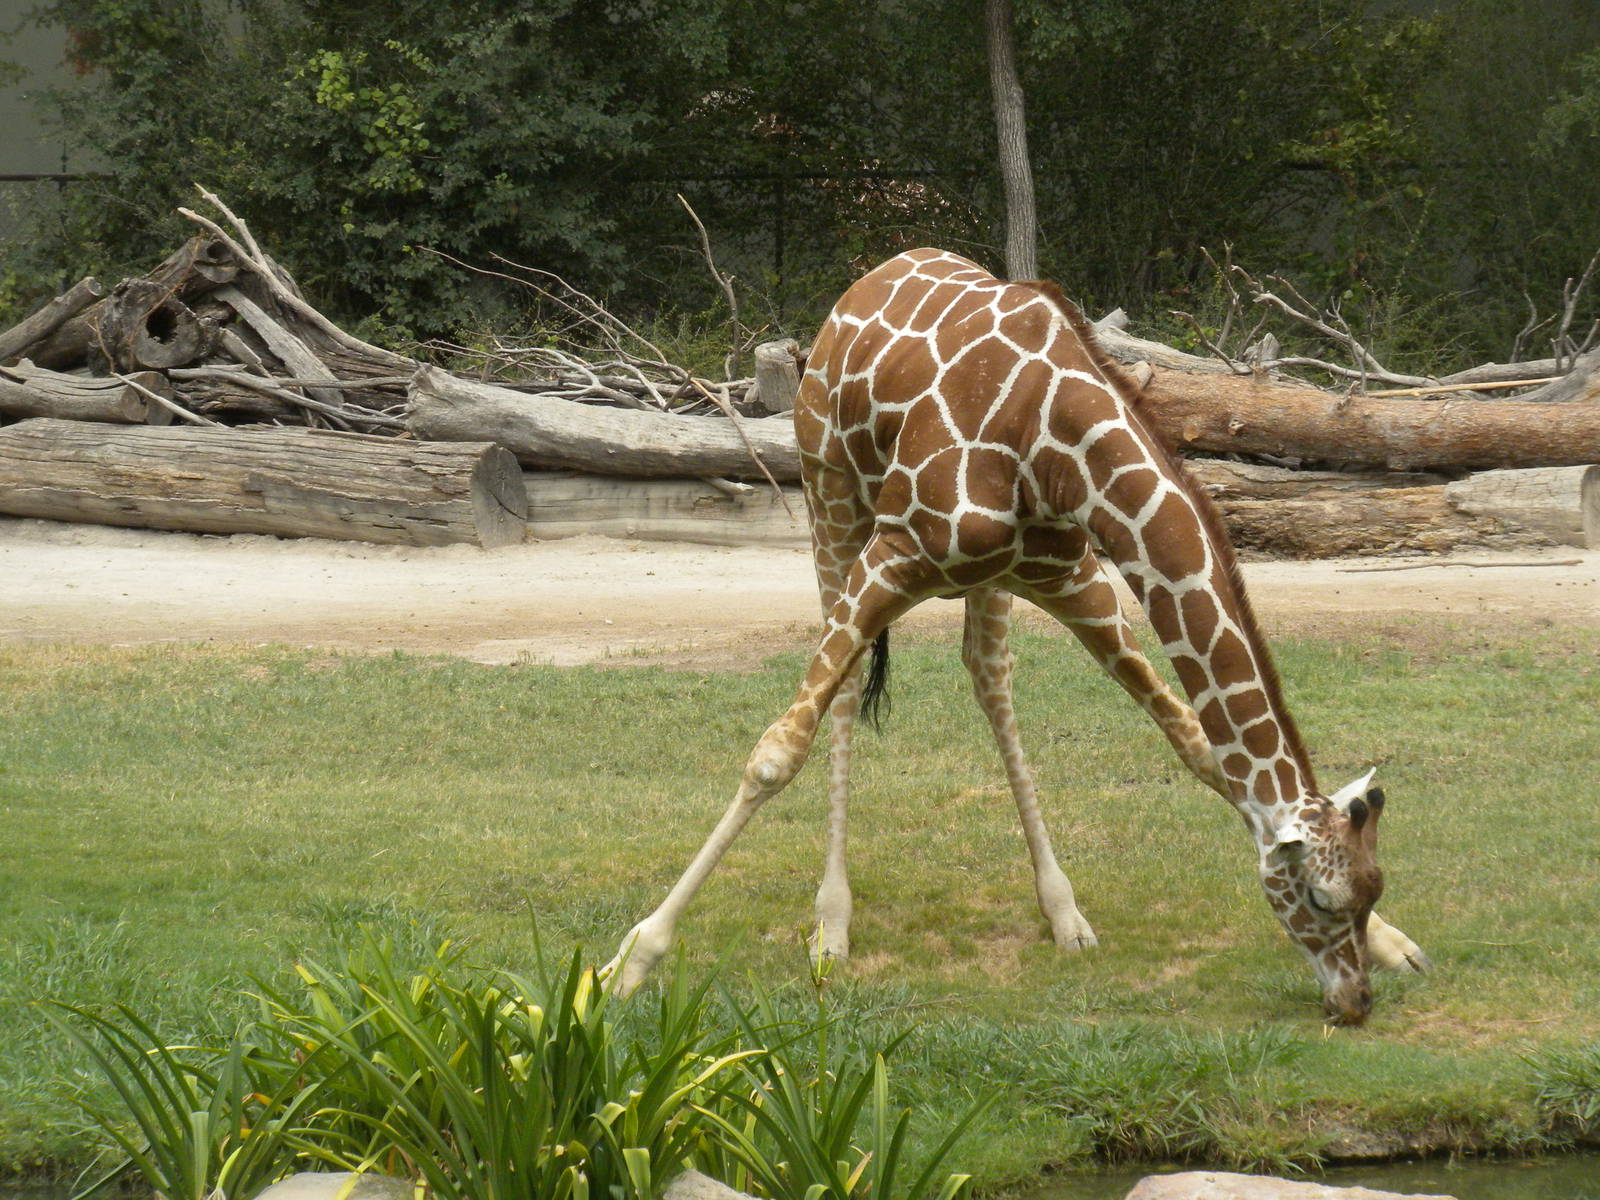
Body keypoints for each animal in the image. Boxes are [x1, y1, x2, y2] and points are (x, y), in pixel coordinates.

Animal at [603, 248, 1427, 1024]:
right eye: (1320, 900)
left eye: (1372, 886)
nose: (1353, 1003)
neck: (1055, 443)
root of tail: (869, 281)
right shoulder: (893, 553)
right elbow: (775, 755)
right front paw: (630, 961)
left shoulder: (1074, 578)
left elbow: (1193, 742)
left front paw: (1397, 945)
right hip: (830, 495)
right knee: (843, 689)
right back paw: (831, 928)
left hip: (987, 578)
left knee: (987, 677)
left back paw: (1063, 912)